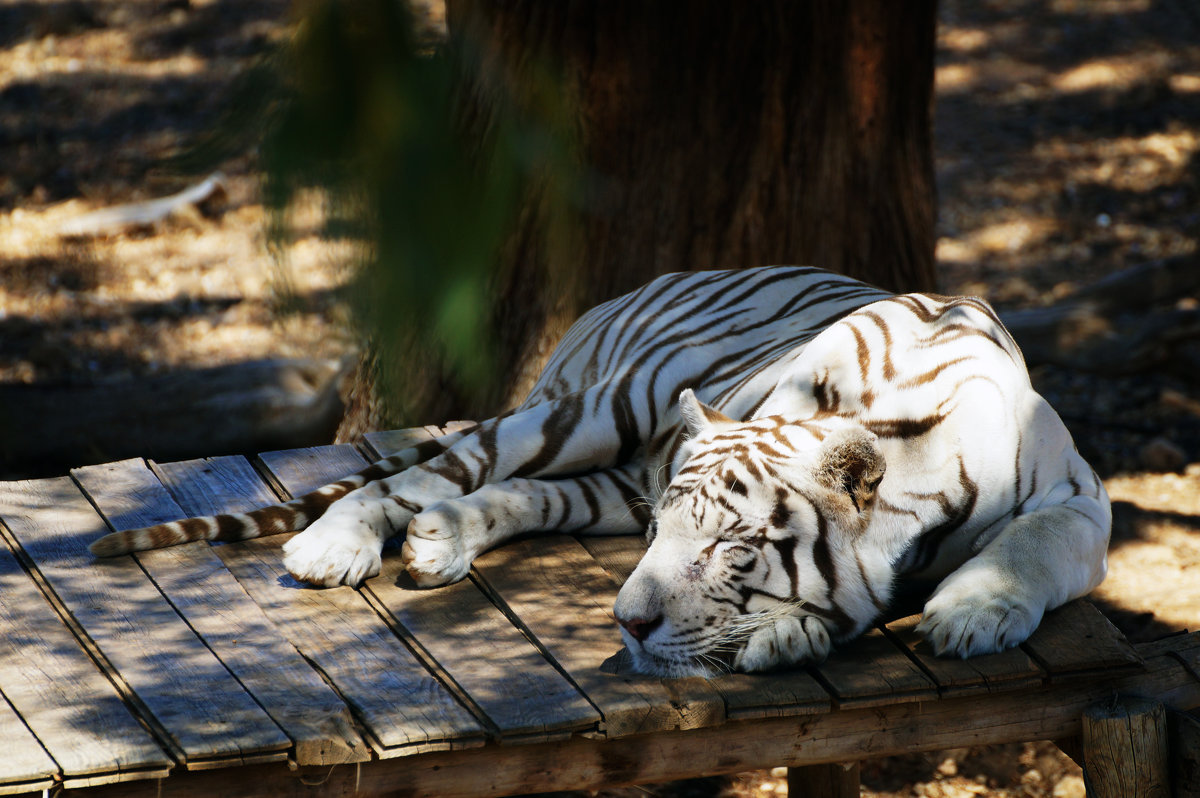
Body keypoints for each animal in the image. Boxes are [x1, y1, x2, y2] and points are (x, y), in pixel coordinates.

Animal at [88, 266, 1108, 672]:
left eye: (731, 546)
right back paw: (336, 546)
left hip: (610, 478)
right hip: (592, 411)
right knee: (428, 474)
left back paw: (438, 545)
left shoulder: (1080, 500)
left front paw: (972, 613)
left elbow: (1033, 545)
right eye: (675, 536)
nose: (626, 626)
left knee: (507, 494)